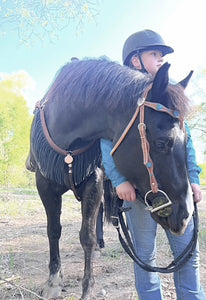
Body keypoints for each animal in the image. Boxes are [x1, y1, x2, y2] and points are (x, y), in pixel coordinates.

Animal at [26, 57, 195, 298]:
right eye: (163, 142)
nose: (185, 216)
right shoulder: (44, 184)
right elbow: (53, 230)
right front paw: (53, 280)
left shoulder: (93, 182)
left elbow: (86, 236)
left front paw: (87, 288)